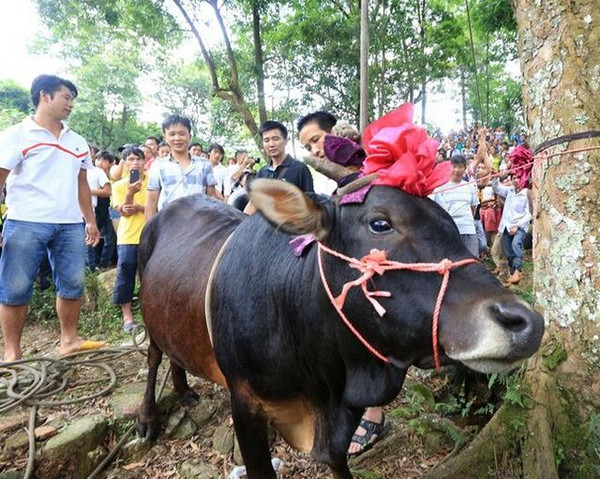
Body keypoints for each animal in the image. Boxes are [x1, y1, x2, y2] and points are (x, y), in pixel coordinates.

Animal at [135, 180, 544, 479]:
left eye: (451, 225)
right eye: (380, 223)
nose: (527, 322)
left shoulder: (341, 414)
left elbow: (338, 460)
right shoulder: (245, 402)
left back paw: (183, 390)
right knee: (154, 356)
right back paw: (148, 418)